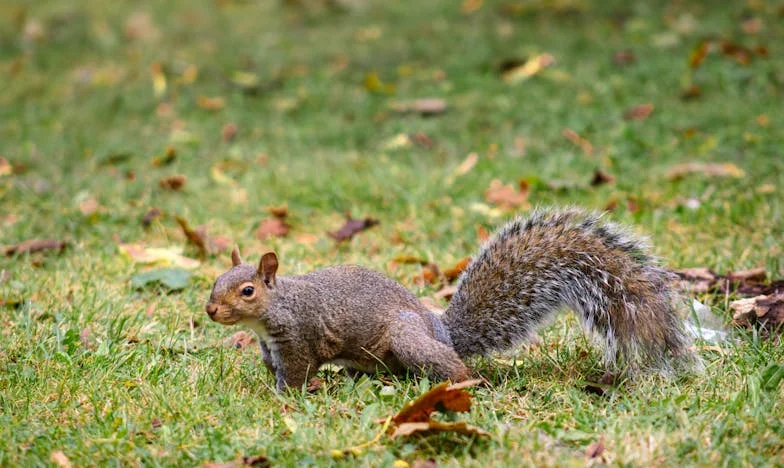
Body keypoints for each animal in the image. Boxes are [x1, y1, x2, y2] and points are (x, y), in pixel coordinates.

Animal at [204, 208, 700, 392]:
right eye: (215, 281)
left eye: (247, 290)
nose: (210, 310)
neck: (273, 311)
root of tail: (440, 330)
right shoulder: (271, 344)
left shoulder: (301, 337)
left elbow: (299, 371)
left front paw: (285, 395)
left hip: (406, 339)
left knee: (454, 367)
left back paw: (461, 383)